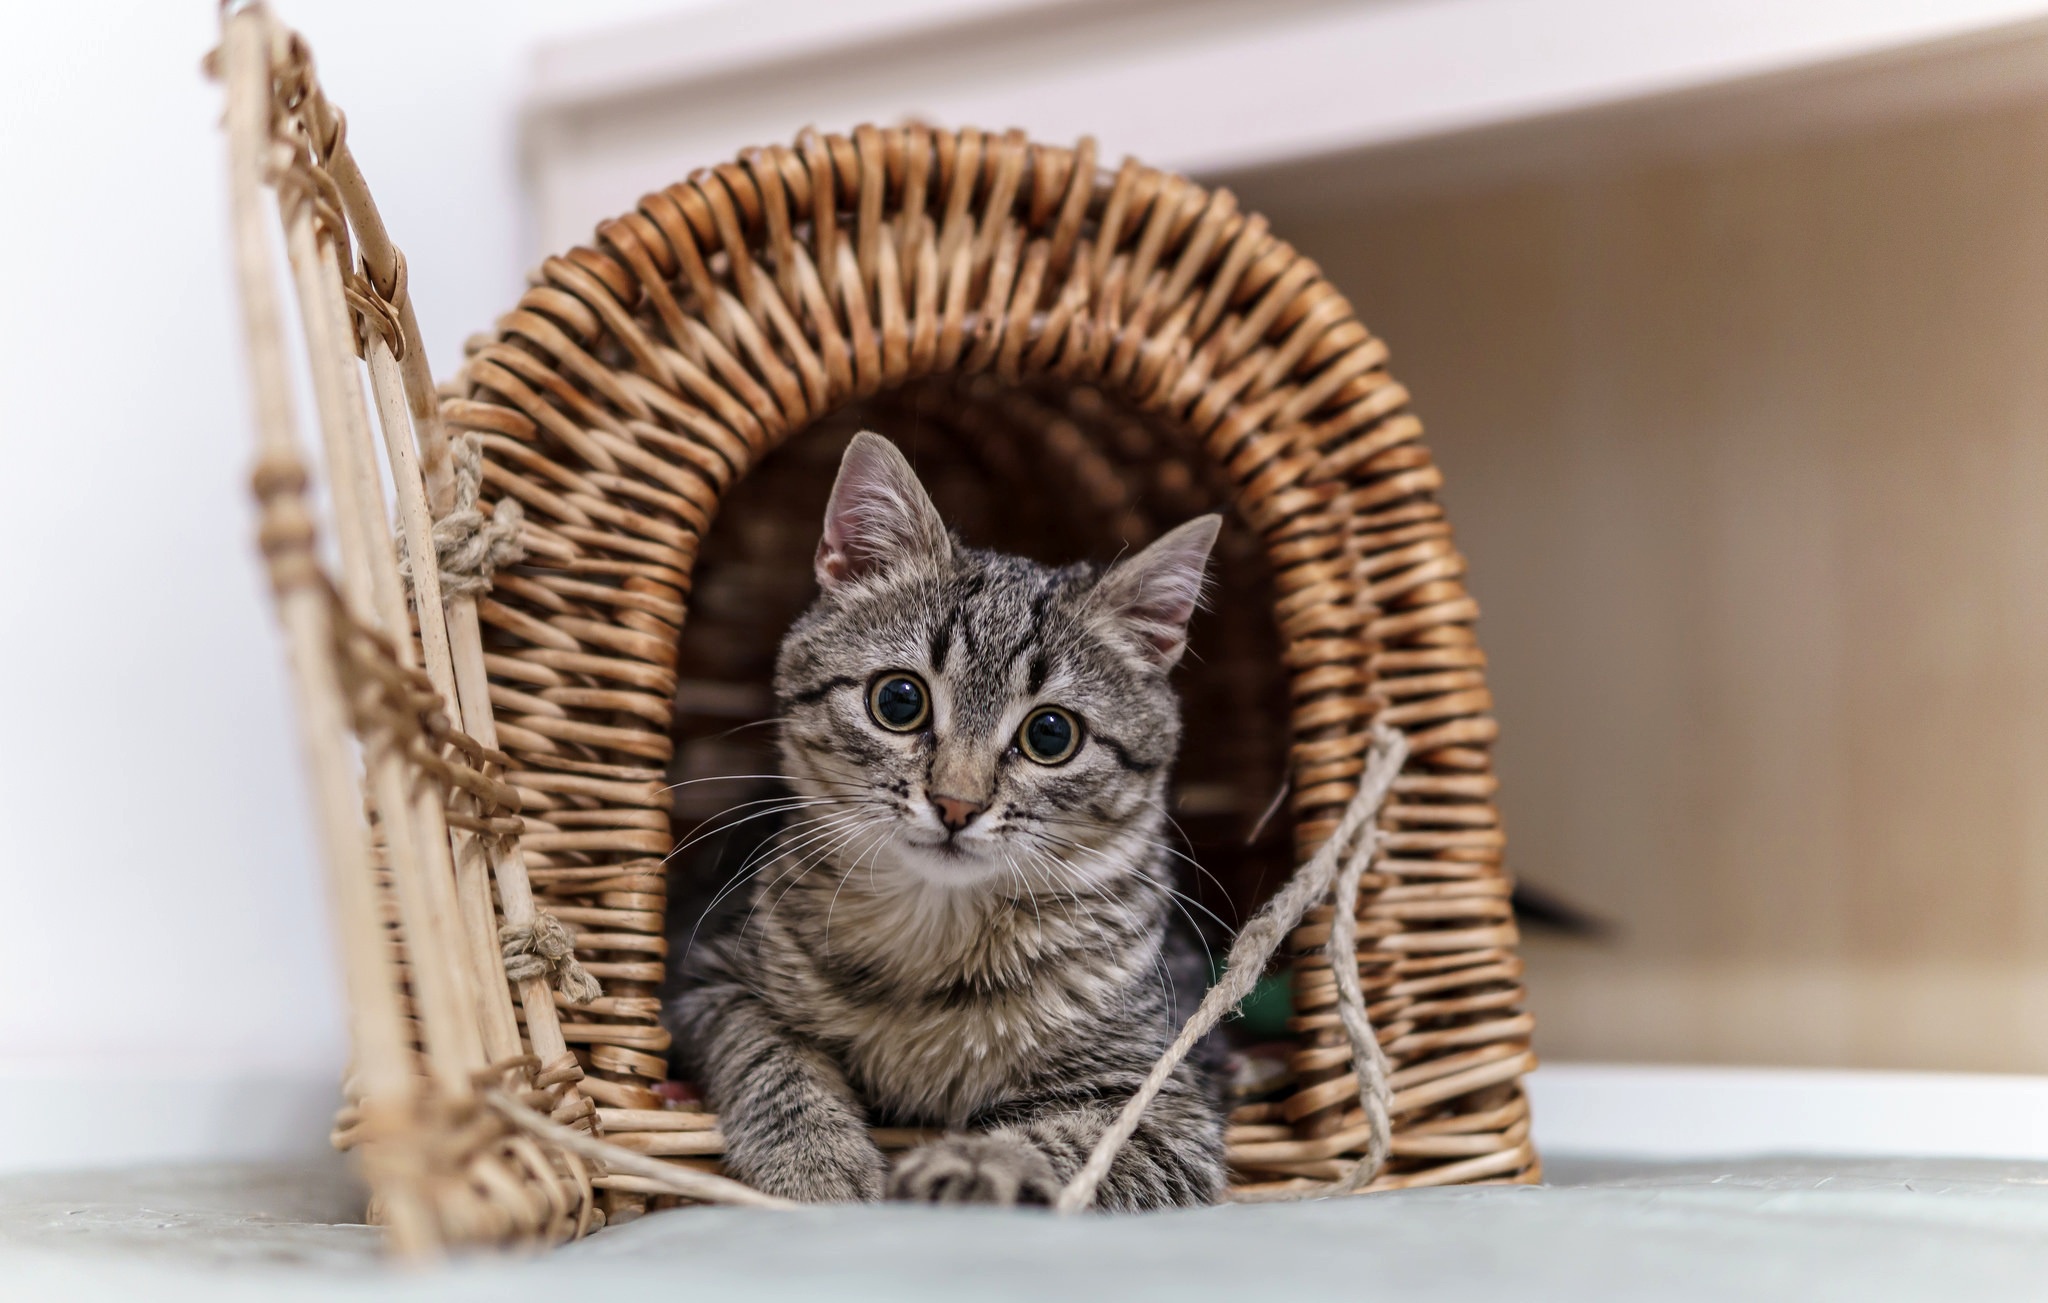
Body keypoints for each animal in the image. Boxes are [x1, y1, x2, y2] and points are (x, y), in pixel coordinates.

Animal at [667, 432, 1228, 1204]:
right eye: (898, 700)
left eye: (1050, 734)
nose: (957, 803)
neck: (936, 930)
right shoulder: (710, 981)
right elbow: (767, 1053)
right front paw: (818, 1161)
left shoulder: (1163, 1098)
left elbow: (1081, 1144)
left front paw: (978, 1166)